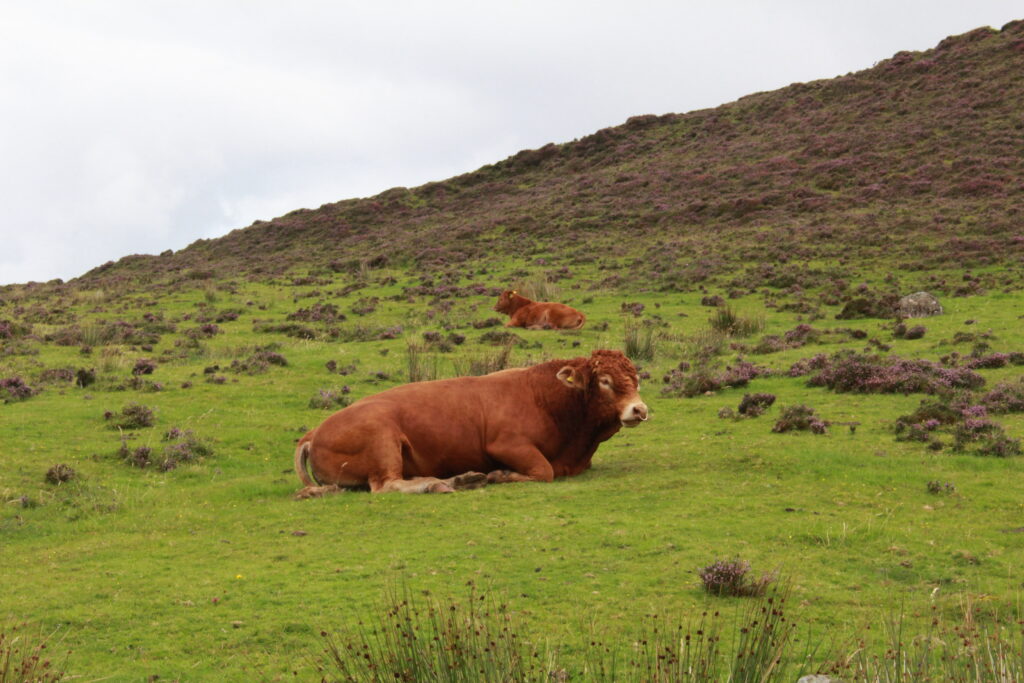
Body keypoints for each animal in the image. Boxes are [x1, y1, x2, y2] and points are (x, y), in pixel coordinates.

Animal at [296, 350, 647, 499]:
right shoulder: (506, 445)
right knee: (387, 485)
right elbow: (543, 471)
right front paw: (499, 475)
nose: (639, 409)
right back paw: (443, 483)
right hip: (382, 436)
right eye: (604, 381)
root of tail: (314, 432)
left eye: (637, 379)